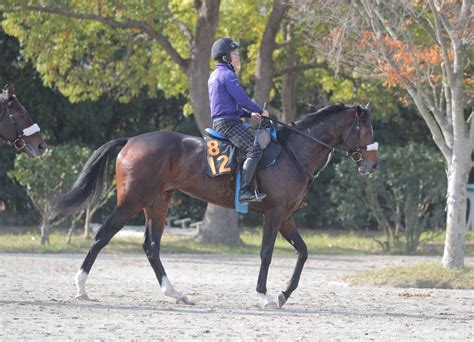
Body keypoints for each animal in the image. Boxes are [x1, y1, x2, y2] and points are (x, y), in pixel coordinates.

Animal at [51, 103, 378, 308]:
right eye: (365, 131)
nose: (373, 166)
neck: (292, 151)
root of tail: (131, 140)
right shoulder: (273, 214)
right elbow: (267, 253)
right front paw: (265, 295)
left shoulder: (285, 217)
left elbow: (303, 251)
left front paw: (284, 293)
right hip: (132, 201)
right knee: (101, 236)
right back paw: (81, 287)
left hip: (158, 203)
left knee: (151, 246)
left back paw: (175, 293)